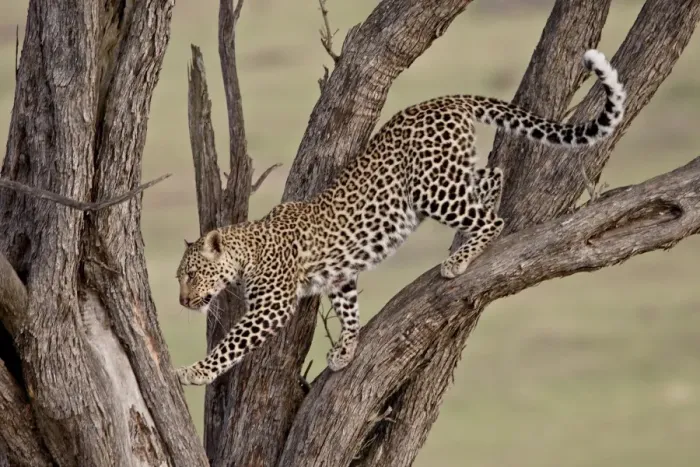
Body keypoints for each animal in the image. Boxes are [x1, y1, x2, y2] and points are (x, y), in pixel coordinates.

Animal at [175, 49, 625, 385]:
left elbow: (232, 343)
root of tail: (446, 100)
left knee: (490, 218)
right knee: (494, 173)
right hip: (449, 173)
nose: (181, 301)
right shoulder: (340, 277)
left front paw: (195, 372)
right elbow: (349, 311)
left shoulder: (270, 307)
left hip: (430, 188)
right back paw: (480, 217)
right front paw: (346, 350)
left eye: (191, 275)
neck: (247, 251)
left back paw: (459, 259)